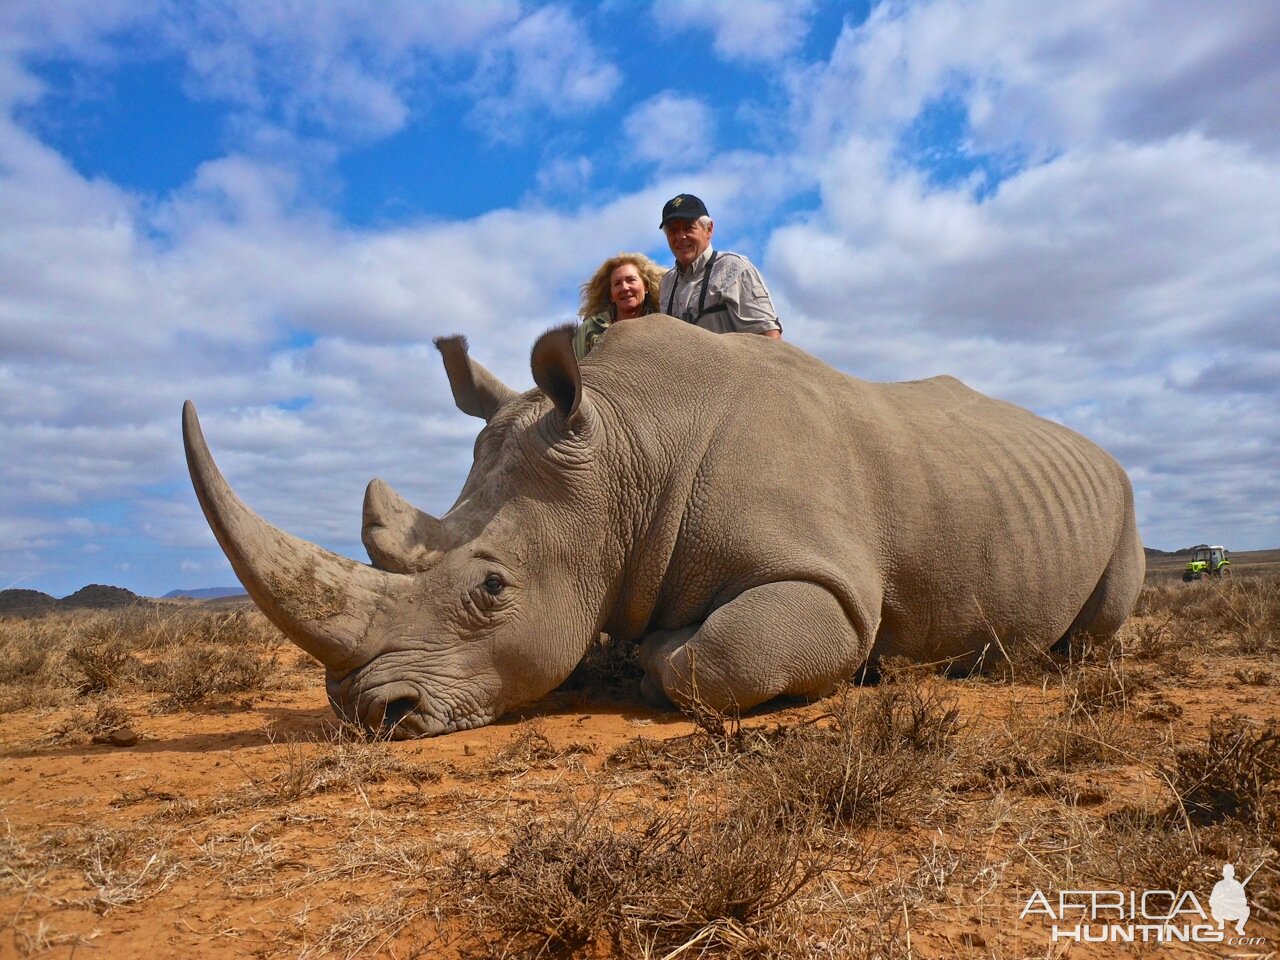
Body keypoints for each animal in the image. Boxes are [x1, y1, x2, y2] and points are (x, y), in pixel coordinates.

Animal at [180, 316, 1141, 737]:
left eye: (491, 587)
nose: (366, 713)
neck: (627, 447)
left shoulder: (827, 581)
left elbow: (721, 657)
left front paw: (649, 660)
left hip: (1124, 494)